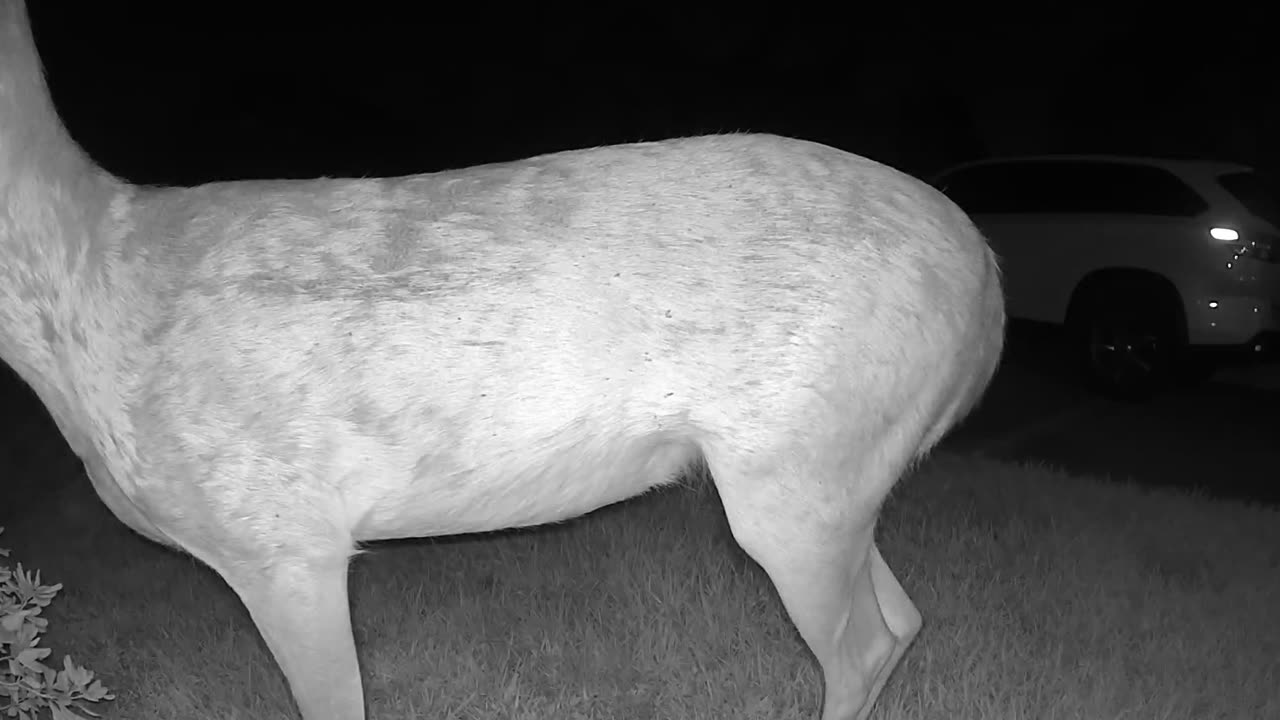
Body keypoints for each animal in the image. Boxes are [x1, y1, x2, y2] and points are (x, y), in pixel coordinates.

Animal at [0, 2, 998, 712]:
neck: (94, 294)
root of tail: (986, 280)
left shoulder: (282, 539)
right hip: (836, 472)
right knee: (903, 620)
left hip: (795, 474)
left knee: (864, 646)